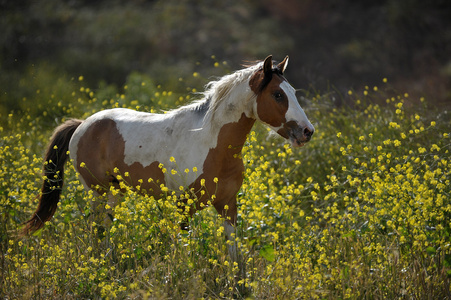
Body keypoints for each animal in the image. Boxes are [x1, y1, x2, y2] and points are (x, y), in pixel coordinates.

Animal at [21, 56, 314, 253]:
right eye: (277, 94)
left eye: (292, 92)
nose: (307, 131)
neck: (212, 145)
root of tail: (82, 124)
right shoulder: (184, 206)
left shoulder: (227, 206)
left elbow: (234, 253)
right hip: (98, 191)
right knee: (96, 229)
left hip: (116, 192)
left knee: (105, 229)